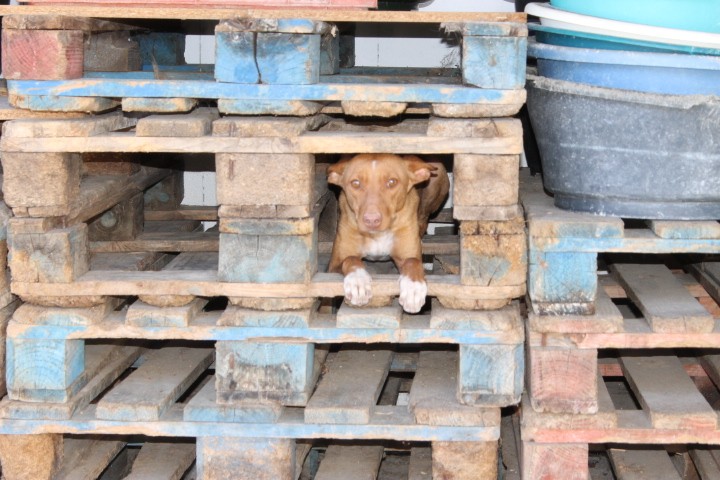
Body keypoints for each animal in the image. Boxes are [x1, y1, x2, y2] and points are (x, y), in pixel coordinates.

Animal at [328, 152, 450, 314]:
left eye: (392, 182)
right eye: (355, 183)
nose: (371, 220)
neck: (376, 235)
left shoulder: (406, 256)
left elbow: (413, 261)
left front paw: (413, 288)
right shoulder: (333, 266)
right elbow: (351, 259)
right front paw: (358, 281)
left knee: (423, 217)